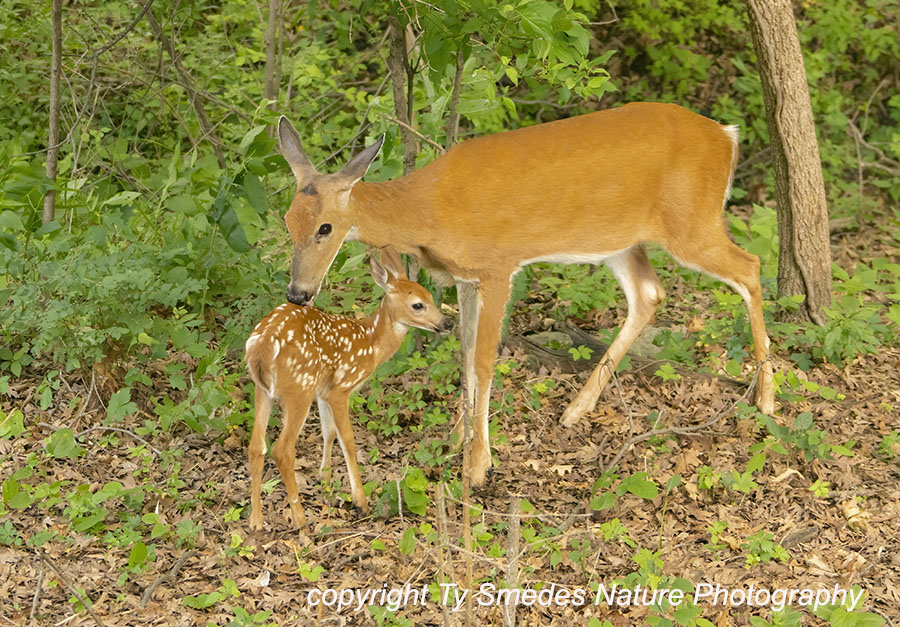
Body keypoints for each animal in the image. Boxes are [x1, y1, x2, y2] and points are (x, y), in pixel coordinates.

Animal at [244, 247, 451, 530]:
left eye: (430, 296)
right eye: (418, 305)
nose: (448, 323)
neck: (371, 343)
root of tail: (263, 346)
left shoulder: (323, 389)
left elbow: (328, 433)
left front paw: (325, 483)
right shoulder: (341, 387)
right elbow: (348, 440)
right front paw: (359, 501)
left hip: (264, 389)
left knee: (256, 446)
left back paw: (256, 521)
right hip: (299, 387)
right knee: (282, 449)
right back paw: (301, 520)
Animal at [274, 101, 777, 489]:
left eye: (326, 227)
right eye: (287, 220)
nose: (298, 293)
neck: (429, 208)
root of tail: (727, 135)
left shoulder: (499, 266)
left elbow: (484, 359)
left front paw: (478, 466)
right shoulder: (465, 277)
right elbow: (464, 352)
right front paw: (457, 440)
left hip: (692, 221)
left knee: (751, 268)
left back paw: (767, 401)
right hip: (620, 239)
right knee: (649, 293)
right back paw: (575, 410)